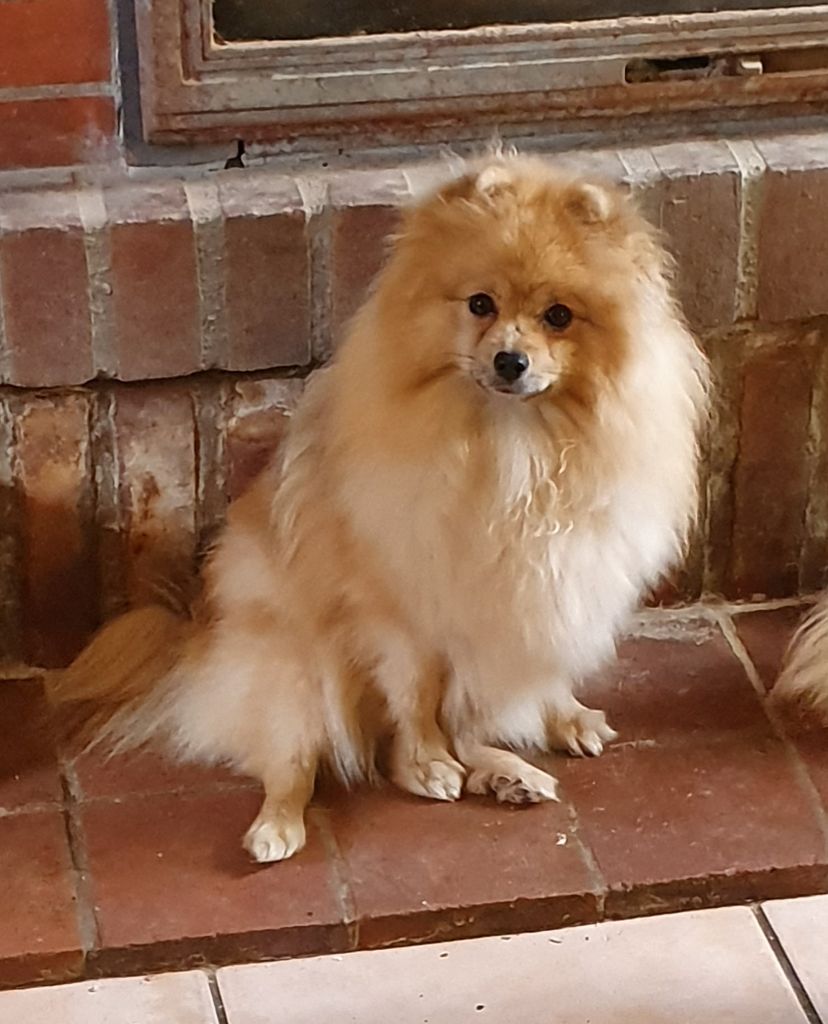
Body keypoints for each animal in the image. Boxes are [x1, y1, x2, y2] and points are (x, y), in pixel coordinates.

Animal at [49, 155, 710, 863]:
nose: (510, 359)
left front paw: (560, 717)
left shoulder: (546, 590)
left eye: (559, 316)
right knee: (300, 761)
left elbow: (530, 676)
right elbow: (416, 697)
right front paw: (429, 761)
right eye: (481, 304)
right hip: (298, 672)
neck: (512, 447)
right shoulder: (402, 605)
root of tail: (197, 641)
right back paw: (282, 827)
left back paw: (508, 773)